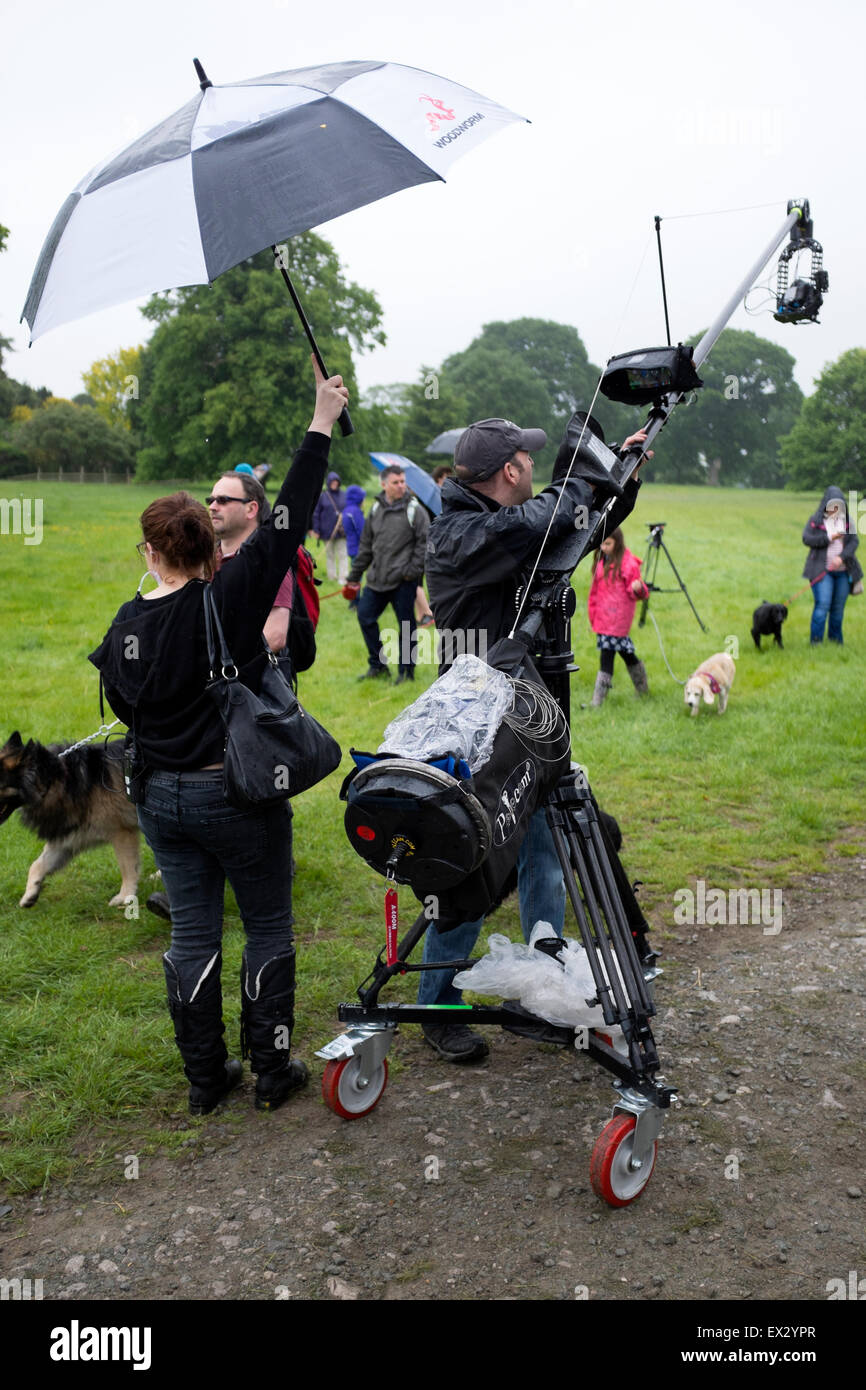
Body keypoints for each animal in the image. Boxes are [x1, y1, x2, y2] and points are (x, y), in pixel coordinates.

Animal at [0, 728, 140, 911]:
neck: (53, 780)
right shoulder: (69, 838)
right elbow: (37, 864)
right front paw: (30, 894)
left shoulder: (122, 833)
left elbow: (127, 867)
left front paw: (125, 896)